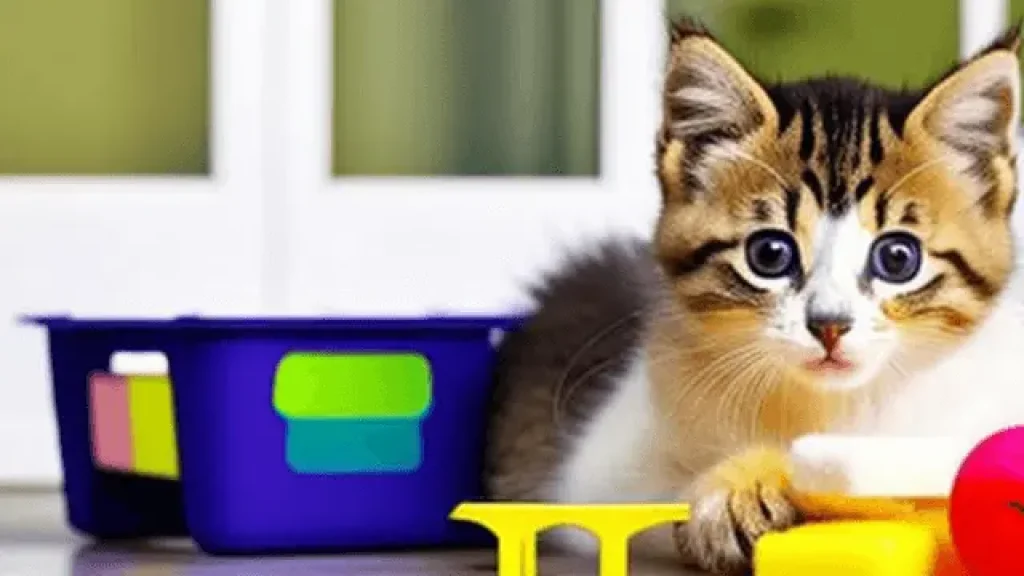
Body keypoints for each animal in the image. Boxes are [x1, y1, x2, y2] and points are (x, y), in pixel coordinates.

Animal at [483, 19, 1024, 573]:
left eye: (897, 258)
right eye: (770, 253)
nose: (830, 325)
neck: (827, 405)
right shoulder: (596, 469)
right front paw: (737, 490)